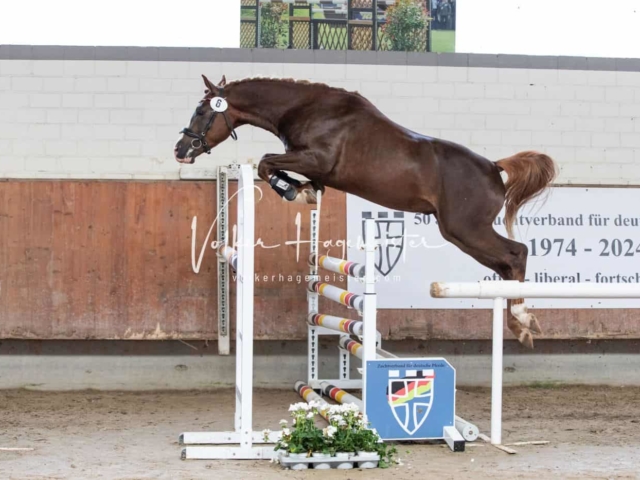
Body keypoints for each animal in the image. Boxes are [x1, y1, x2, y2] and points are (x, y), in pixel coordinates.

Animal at [174, 74, 556, 348]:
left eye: (202, 112)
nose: (181, 149)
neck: (305, 108)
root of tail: (493, 167)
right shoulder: (314, 168)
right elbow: (277, 170)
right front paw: (304, 192)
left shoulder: (315, 159)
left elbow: (267, 163)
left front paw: (295, 193)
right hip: (460, 234)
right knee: (505, 265)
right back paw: (520, 326)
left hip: (466, 228)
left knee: (516, 254)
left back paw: (523, 319)